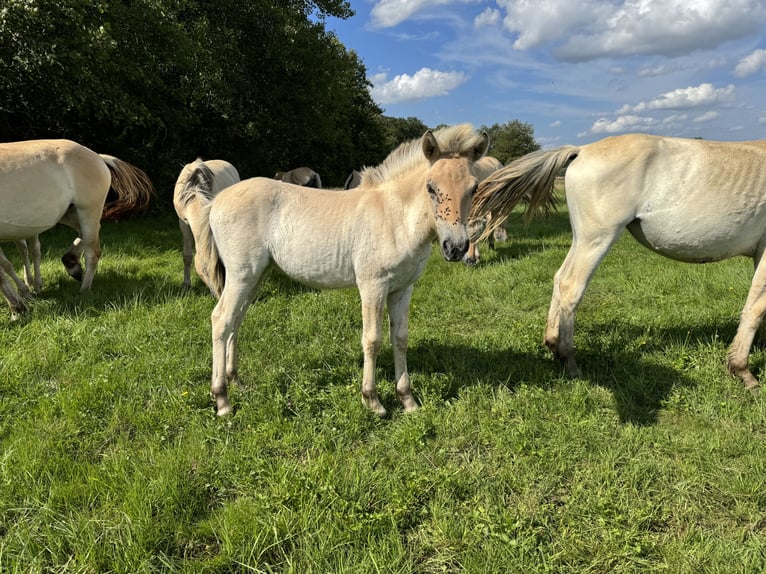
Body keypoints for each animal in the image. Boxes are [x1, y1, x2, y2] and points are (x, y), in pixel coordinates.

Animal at [0, 138, 154, 316]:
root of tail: (98, 157)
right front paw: (21, 301)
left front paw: (17, 307)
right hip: (69, 213)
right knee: (90, 233)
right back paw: (72, 264)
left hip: (87, 210)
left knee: (92, 251)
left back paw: (83, 290)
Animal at [183, 124, 488, 416]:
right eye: (431, 187)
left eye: (474, 188)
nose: (455, 247)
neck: (394, 217)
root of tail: (217, 200)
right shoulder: (373, 285)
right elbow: (373, 339)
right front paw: (373, 401)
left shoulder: (403, 288)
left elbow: (400, 339)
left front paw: (408, 400)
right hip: (241, 274)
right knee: (221, 319)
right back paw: (222, 400)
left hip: (254, 277)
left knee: (236, 319)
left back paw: (236, 382)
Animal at [472, 134, 766, 396]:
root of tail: (581, 150)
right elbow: (755, 309)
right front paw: (742, 370)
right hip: (597, 239)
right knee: (571, 287)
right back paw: (570, 362)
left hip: (582, 239)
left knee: (559, 279)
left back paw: (553, 346)